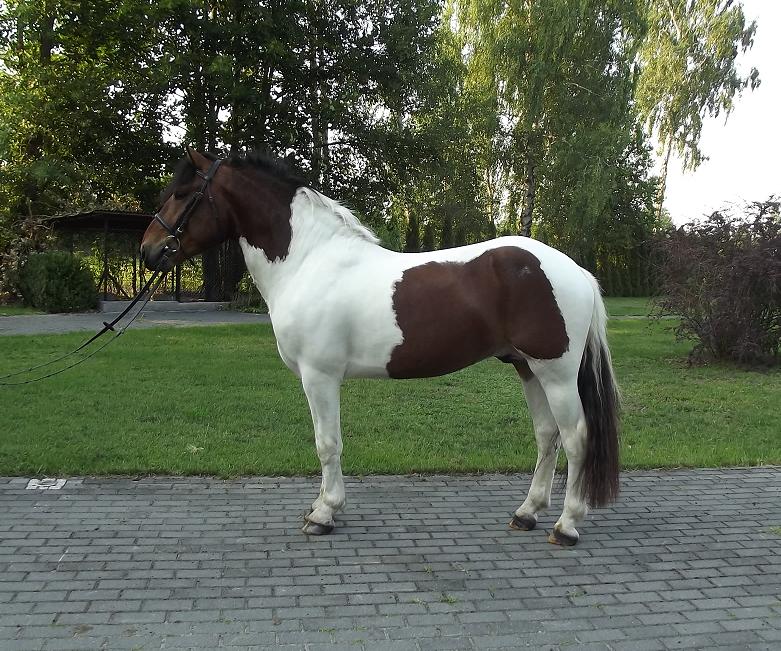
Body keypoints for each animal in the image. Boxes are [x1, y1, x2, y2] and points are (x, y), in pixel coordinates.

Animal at [140, 147, 620, 546]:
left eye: (183, 194)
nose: (148, 251)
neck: (307, 261)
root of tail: (575, 270)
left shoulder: (320, 377)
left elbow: (327, 443)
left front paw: (324, 514)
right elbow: (326, 442)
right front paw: (321, 505)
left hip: (556, 373)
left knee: (576, 437)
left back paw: (566, 525)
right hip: (528, 368)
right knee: (547, 436)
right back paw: (526, 513)